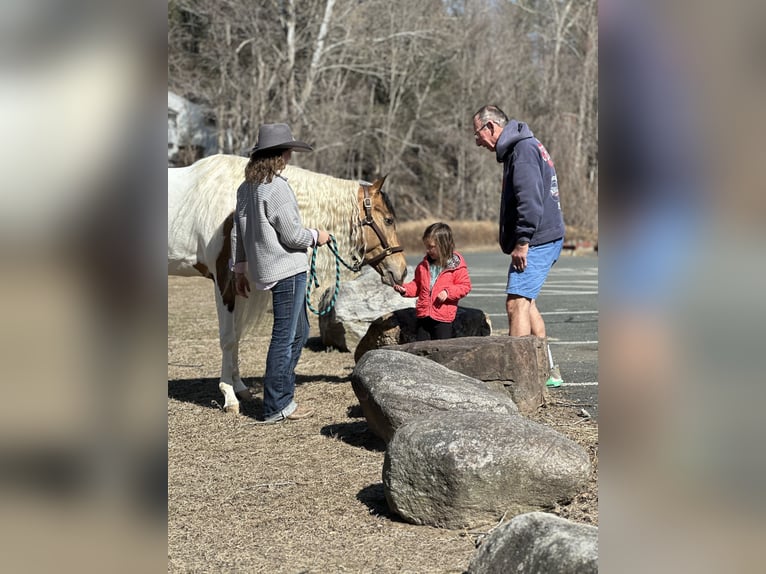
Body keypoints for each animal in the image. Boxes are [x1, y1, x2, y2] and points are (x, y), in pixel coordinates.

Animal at [167, 153, 408, 414]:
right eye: (388, 220)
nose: (402, 270)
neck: (235, 205)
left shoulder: (239, 287)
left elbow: (237, 336)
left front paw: (240, 388)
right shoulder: (224, 283)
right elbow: (228, 339)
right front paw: (229, 397)